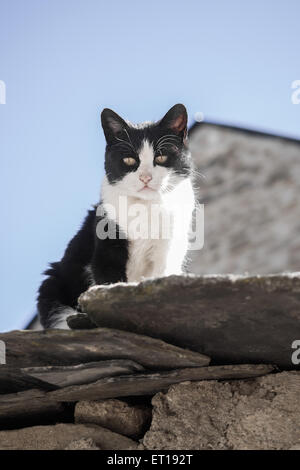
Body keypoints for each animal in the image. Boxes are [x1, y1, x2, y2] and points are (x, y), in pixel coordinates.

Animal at [37, 104, 195, 328]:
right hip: (52, 285)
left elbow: (162, 273)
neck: (144, 207)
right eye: (129, 159)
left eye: (161, 157)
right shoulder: (107, 245)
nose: (145, 177)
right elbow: (108, 279)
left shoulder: (169, 246)